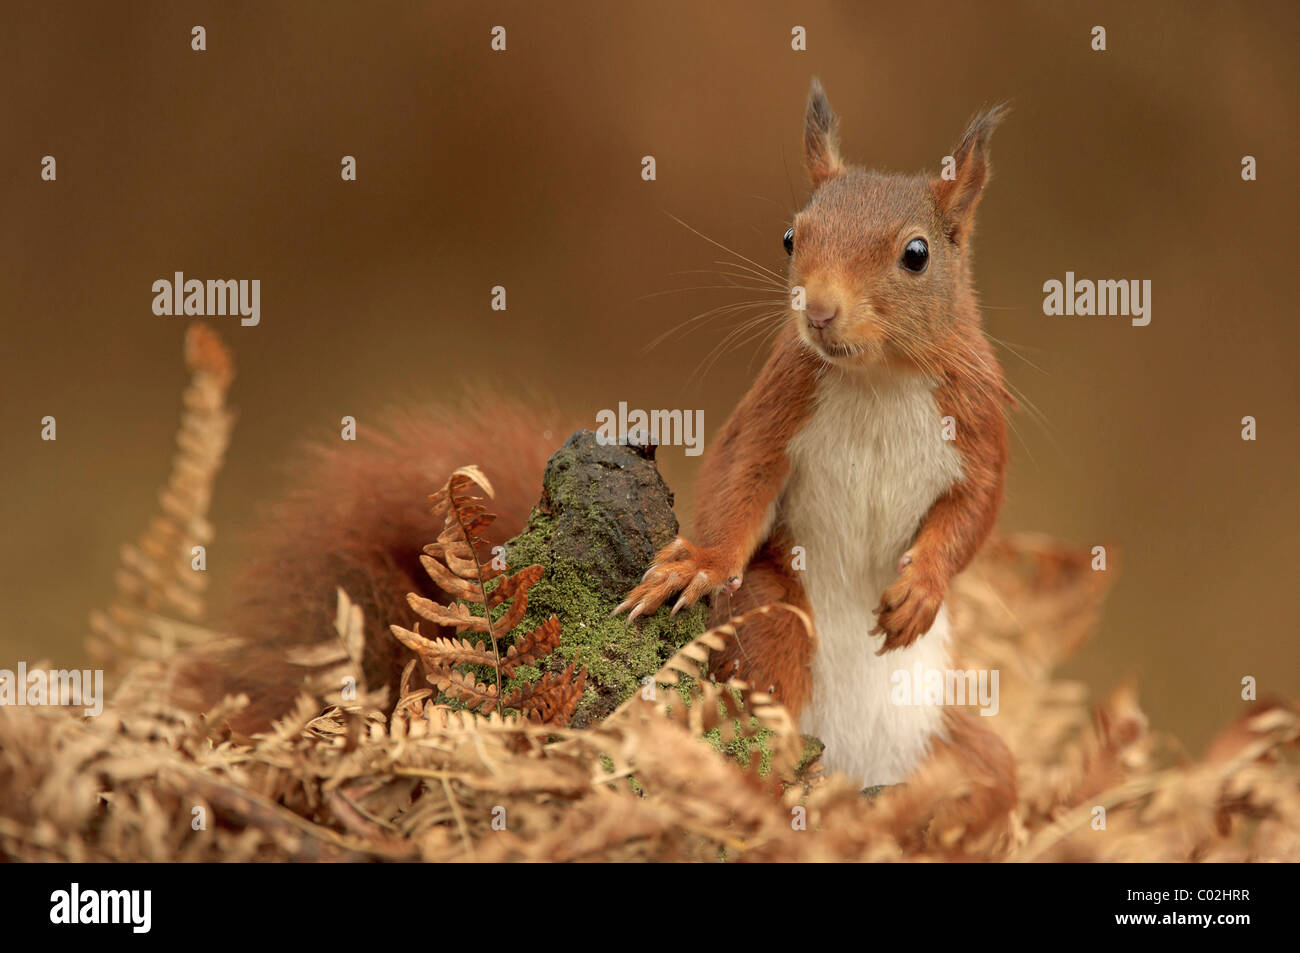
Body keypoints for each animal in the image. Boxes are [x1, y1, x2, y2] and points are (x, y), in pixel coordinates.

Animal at [613, 78, 1008, 785]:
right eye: (791, 237)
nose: (818, 311)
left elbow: (974, 512)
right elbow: (739, 478)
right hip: (776, 614)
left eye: (917, 254)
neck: (878, 378)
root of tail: (859, 760)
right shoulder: (778, 404)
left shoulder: (979, 425)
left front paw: (922, 589)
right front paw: (701, 564)